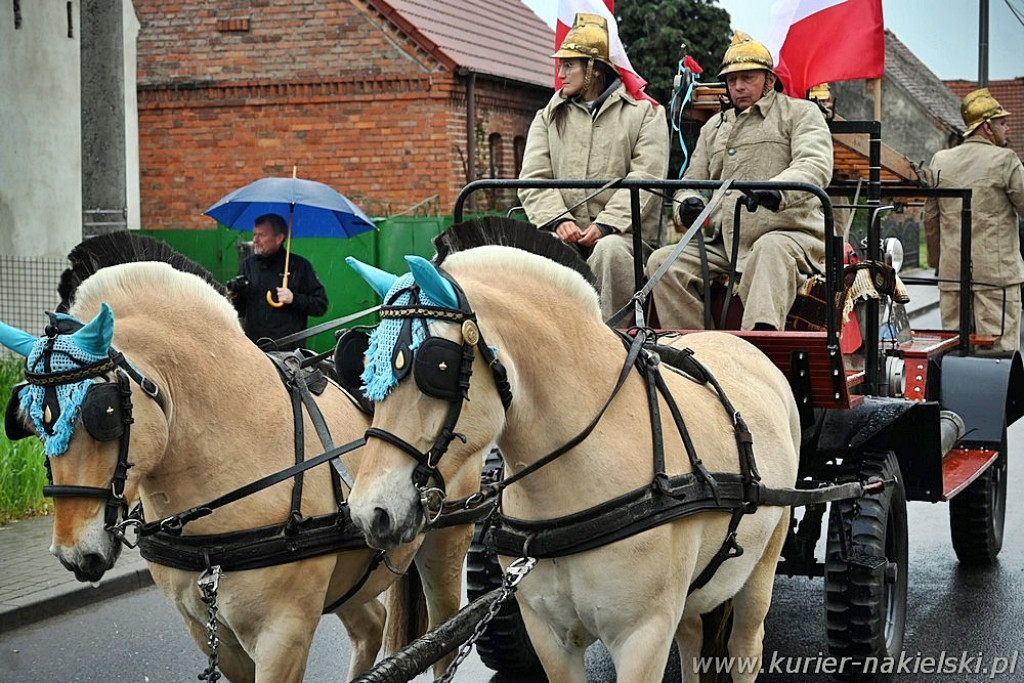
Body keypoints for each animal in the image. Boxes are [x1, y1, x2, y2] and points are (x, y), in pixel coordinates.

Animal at [0, 259, 471, 679]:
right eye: (31, 422)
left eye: (107, 413)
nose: (73, 554)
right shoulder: (208, 631)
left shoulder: (283, 634)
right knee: (371, 623)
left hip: (445, 547)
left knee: (444, 638)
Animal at [344, 232, 798, 679]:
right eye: (366, 366)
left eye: (436, 366)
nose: (370, 512)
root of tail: (738, 342)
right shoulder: (550, 635)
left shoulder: (644, 637)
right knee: (692, 638)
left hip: (762, 561)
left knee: (745, 646)